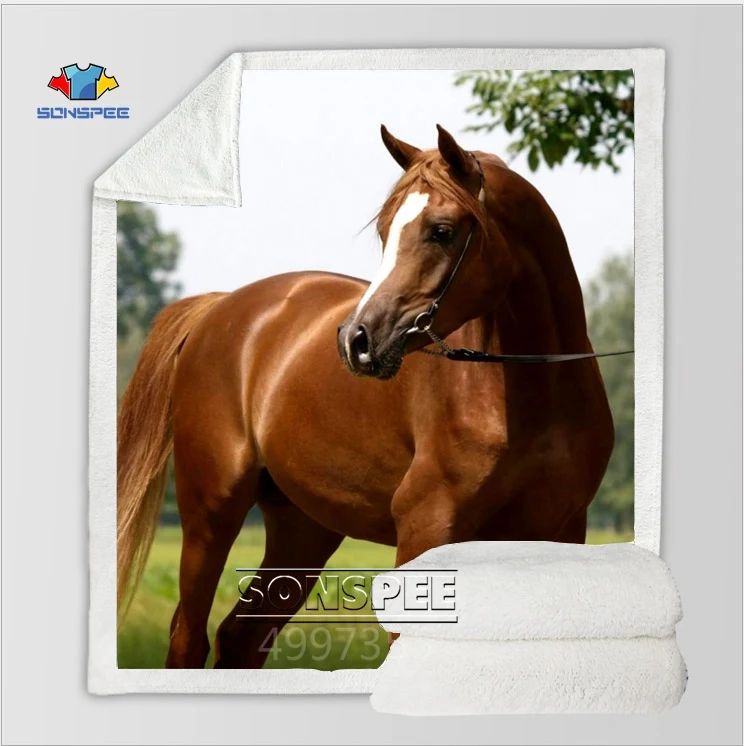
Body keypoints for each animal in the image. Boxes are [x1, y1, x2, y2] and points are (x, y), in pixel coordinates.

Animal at [117, 124, 615, 669]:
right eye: (384, 230)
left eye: (442, 230)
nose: (356, 340)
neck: (531, 394)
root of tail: (220, 307)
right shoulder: (427, 529)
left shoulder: (556, 533)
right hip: (211, 512)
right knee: (190, 636)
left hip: (304, 530)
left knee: (241, 637)